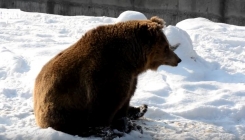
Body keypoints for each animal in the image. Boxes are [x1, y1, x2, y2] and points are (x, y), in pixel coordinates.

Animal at [33, 16, 181, 139]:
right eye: (166, 47)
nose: (178, 59)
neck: (130, 59)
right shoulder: (106, 74)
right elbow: (105, 106)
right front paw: (114, 129)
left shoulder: (130, 78)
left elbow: (125, 99)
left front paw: (128, 119)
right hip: (62, 107)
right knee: (73, 124)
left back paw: (141, 109)